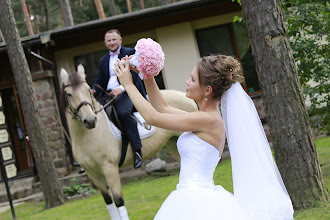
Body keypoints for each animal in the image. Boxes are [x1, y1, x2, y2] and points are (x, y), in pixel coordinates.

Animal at [60, 64, 197, 219]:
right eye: (69, 94)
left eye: (88, 90)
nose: (90, 120)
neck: (89, 135)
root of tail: (185, 96)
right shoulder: (93, 173)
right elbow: (109, 202)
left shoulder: (110, 168)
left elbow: (119, 200)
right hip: (173, 143)